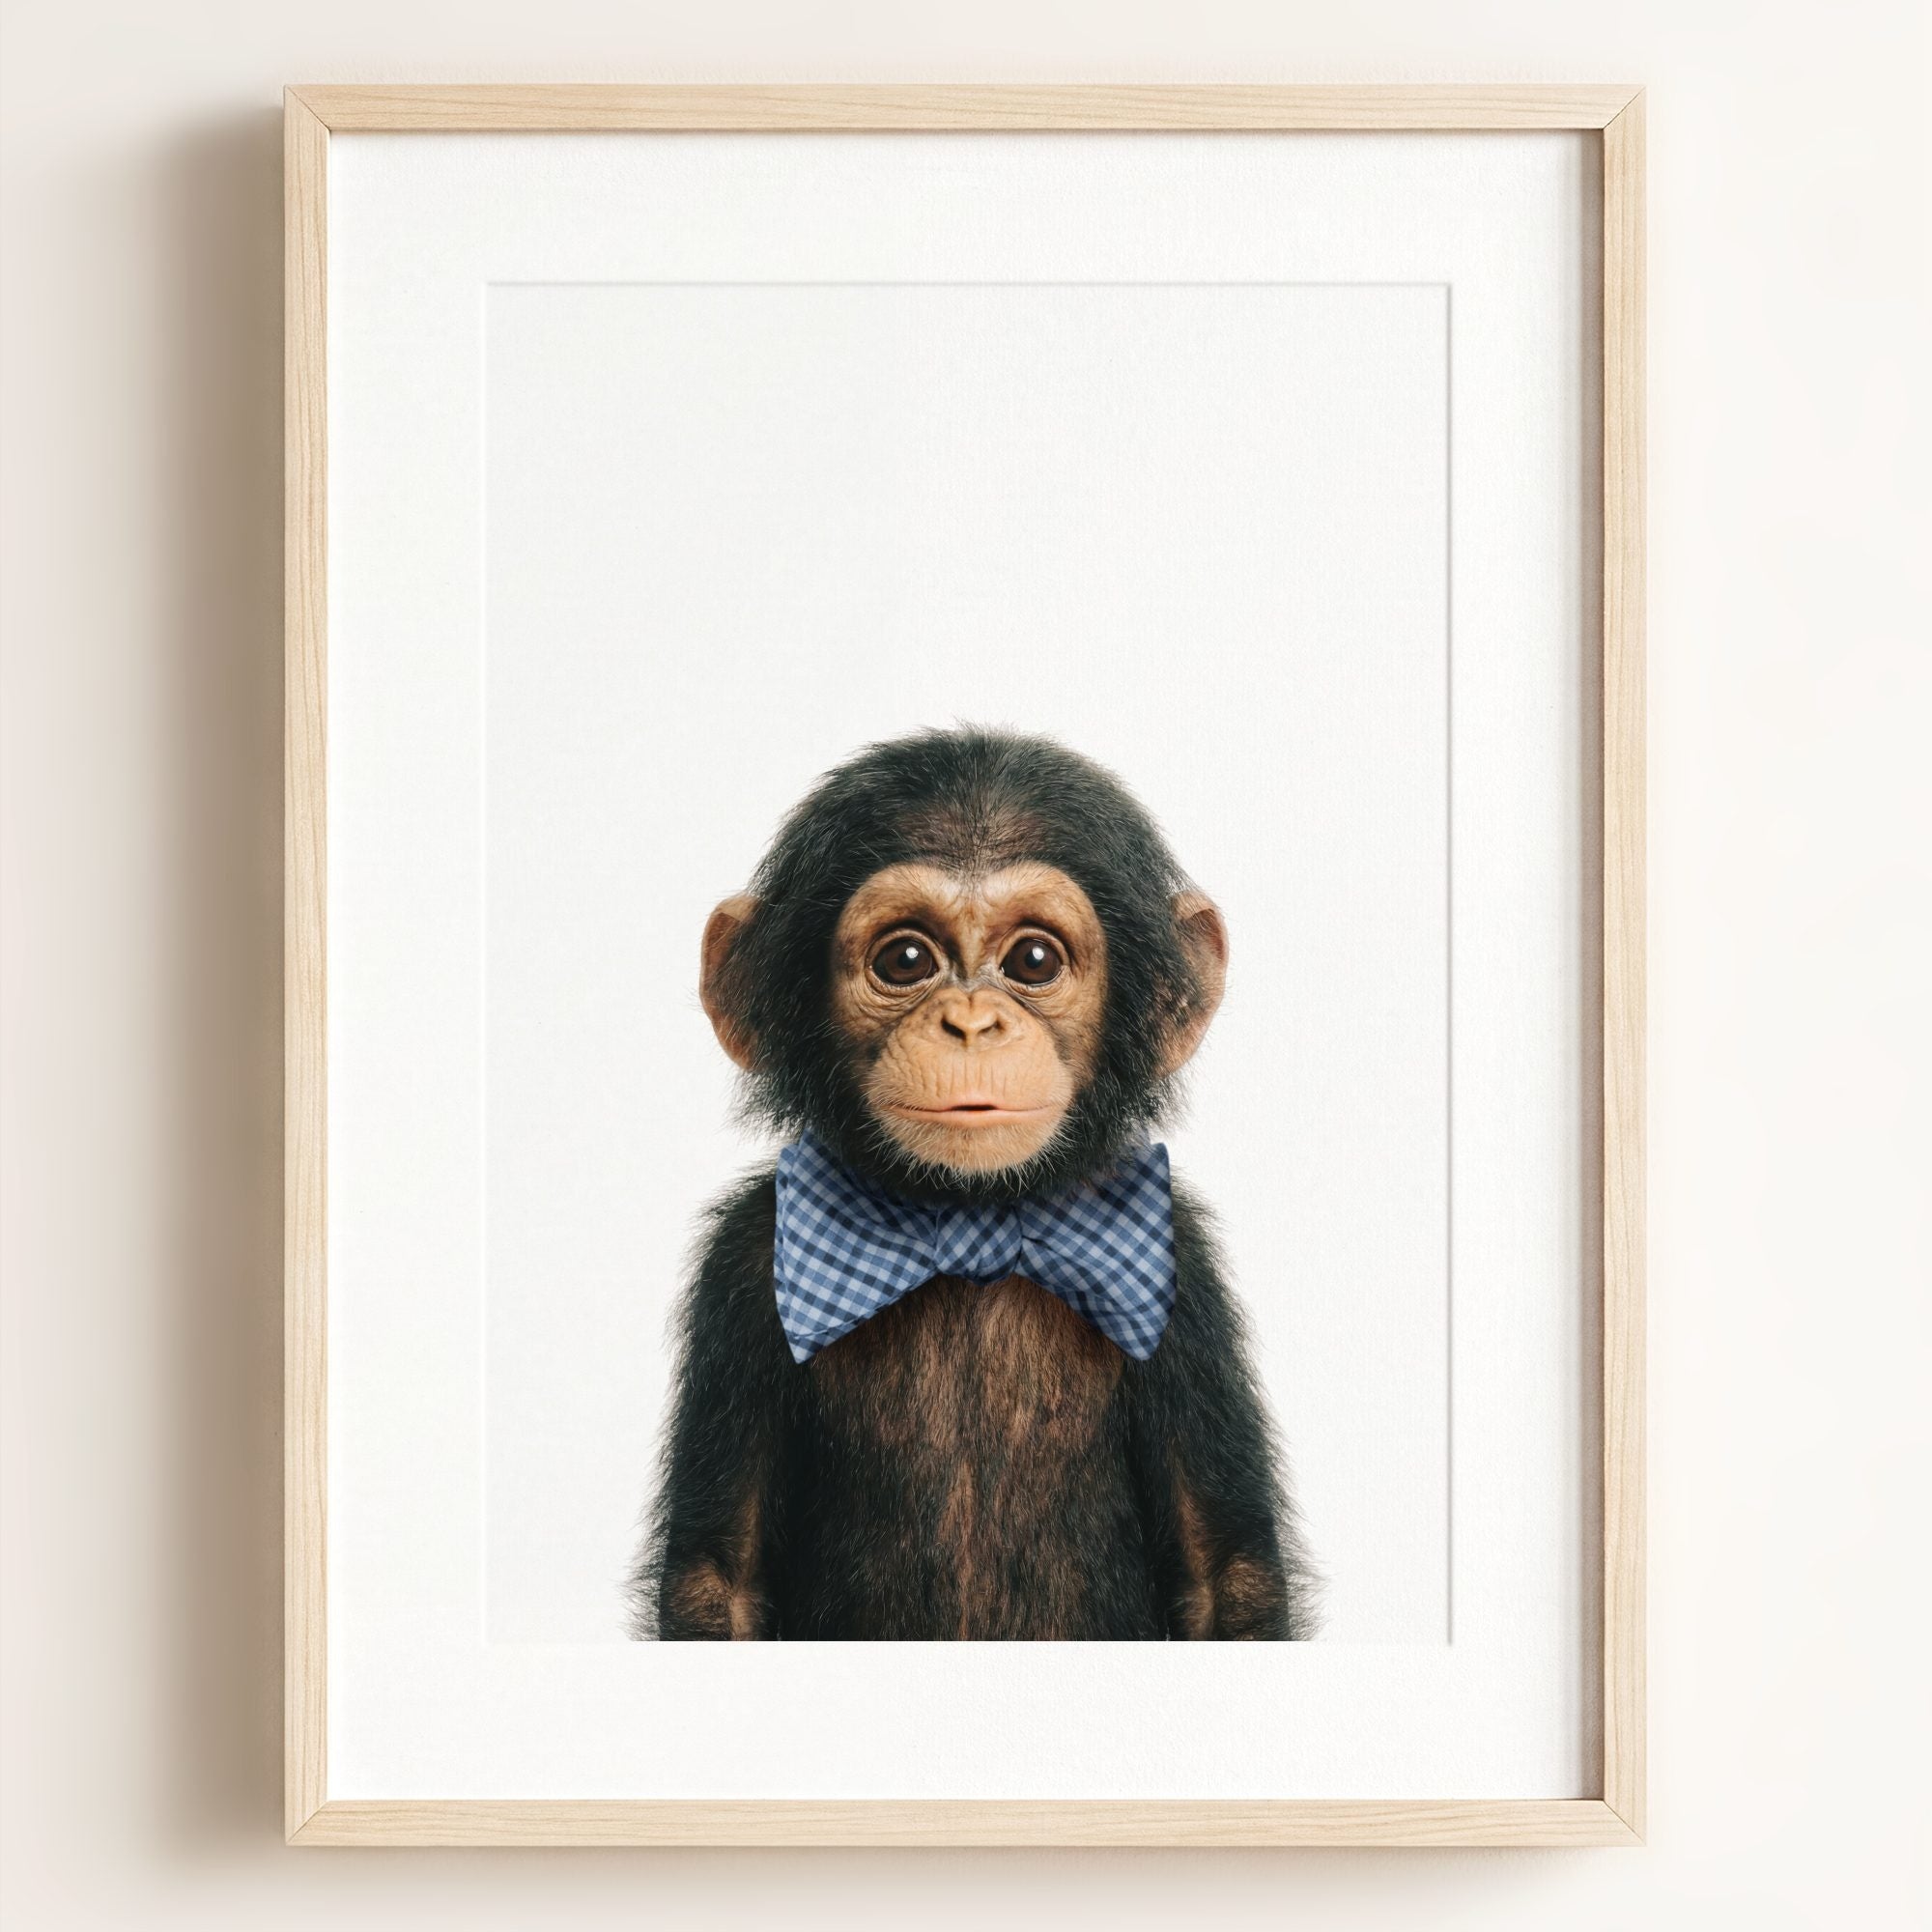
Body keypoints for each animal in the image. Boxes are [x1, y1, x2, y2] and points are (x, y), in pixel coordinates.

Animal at [632, 726, 1316, 1640]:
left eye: (1033, 959)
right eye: (905, 959)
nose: (970, 1022)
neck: (967, 1223)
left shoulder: (1182, 1272)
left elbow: (1227, 1577)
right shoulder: (742, 1265)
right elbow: (718, 1580)